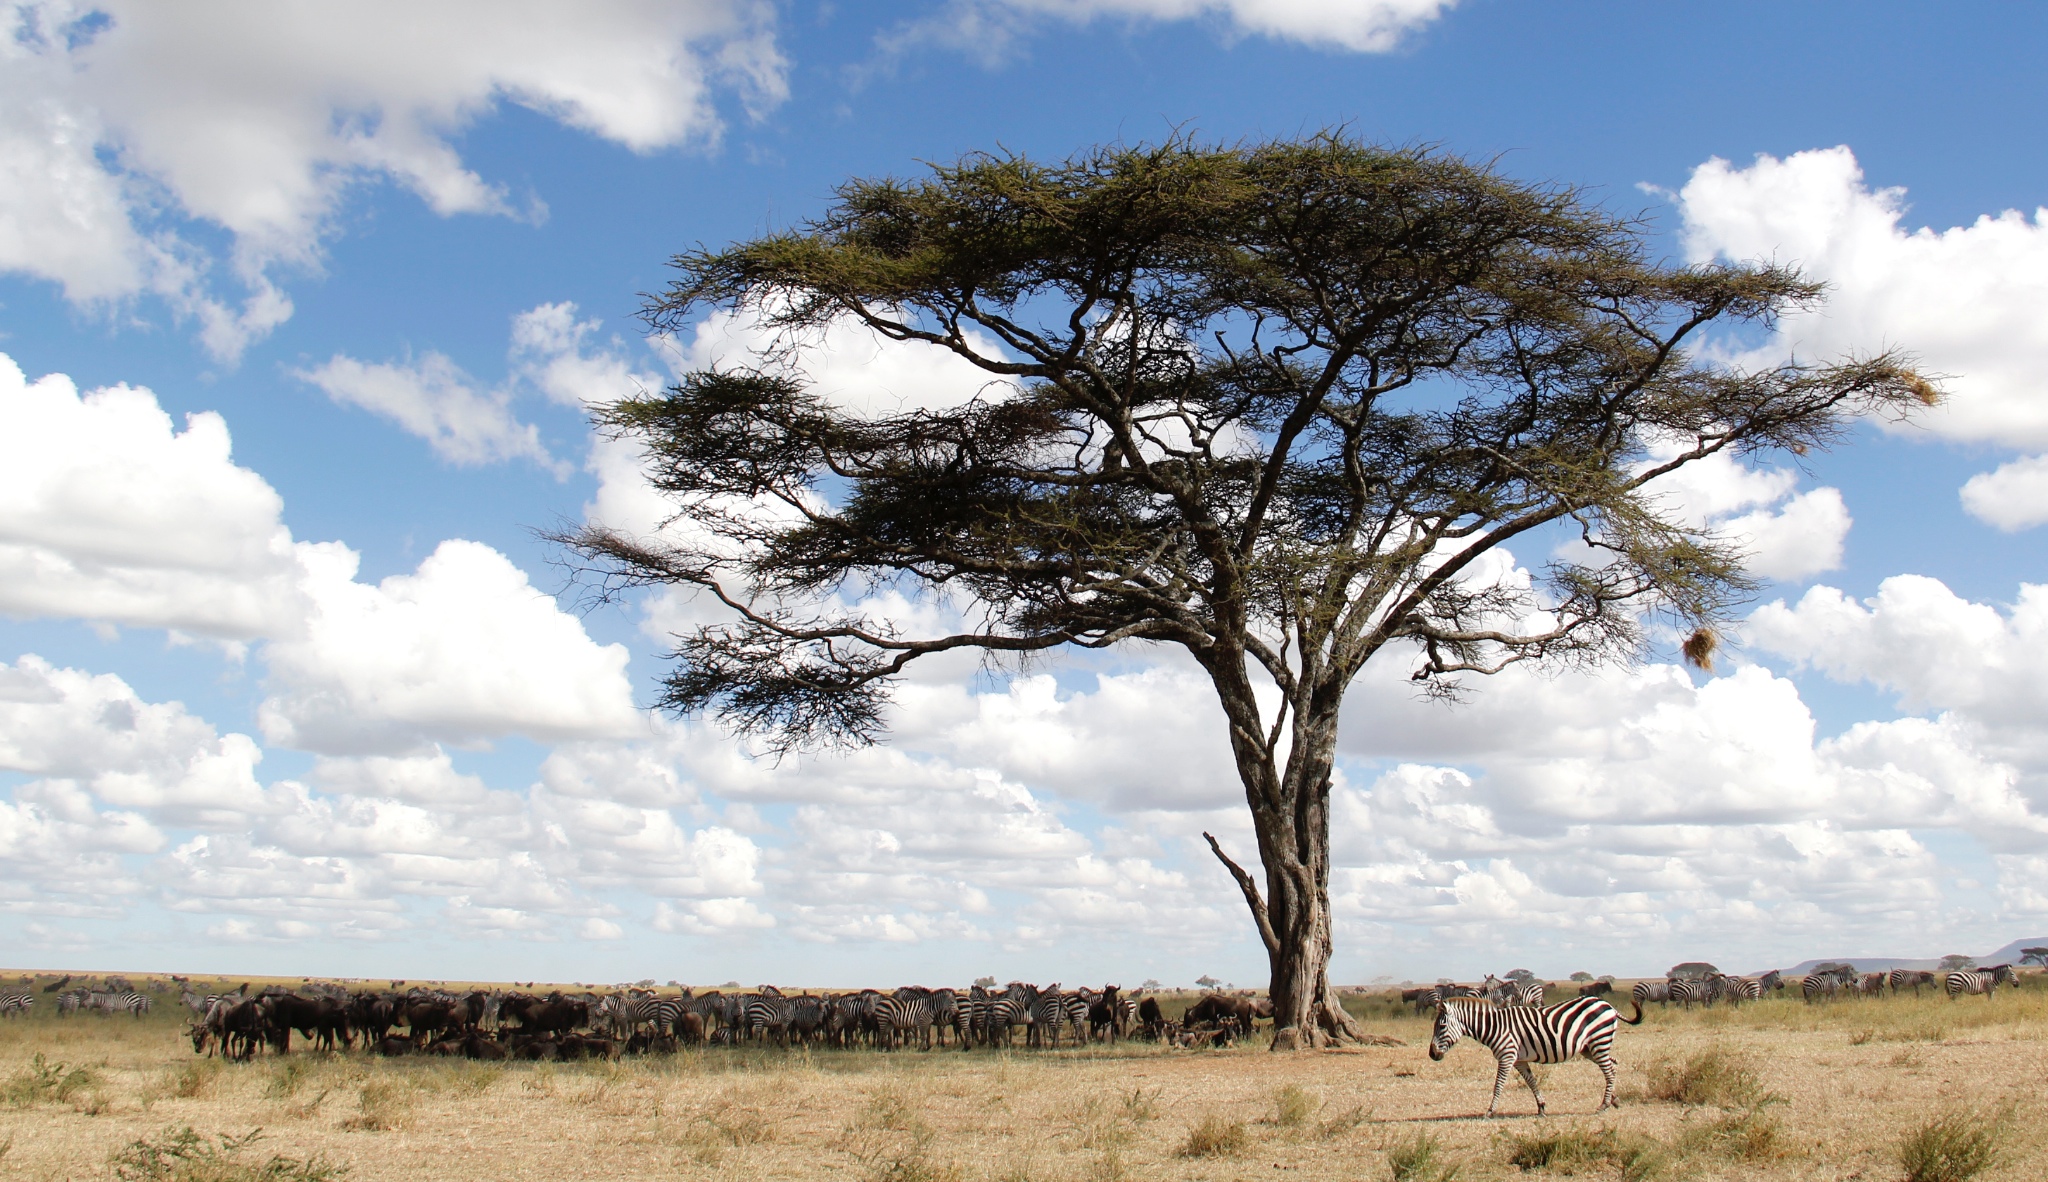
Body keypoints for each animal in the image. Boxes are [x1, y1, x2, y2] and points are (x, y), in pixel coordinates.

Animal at [1433, 995, 1654, 1114]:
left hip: (1599, 1042)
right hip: (1590, 1047)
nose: (1432, 1054)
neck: (1496, 1026)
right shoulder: (1519, 1060)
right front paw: (1541, 1107)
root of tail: (1608, 1005)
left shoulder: (1507, 1056)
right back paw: (1613, 1100)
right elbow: (1531, 1081)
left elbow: (1498, 1085)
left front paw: (1490, 1111)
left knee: (1608, 1070)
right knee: (1613, 1066)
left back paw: (1604, 1104)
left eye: (1441, 1026)